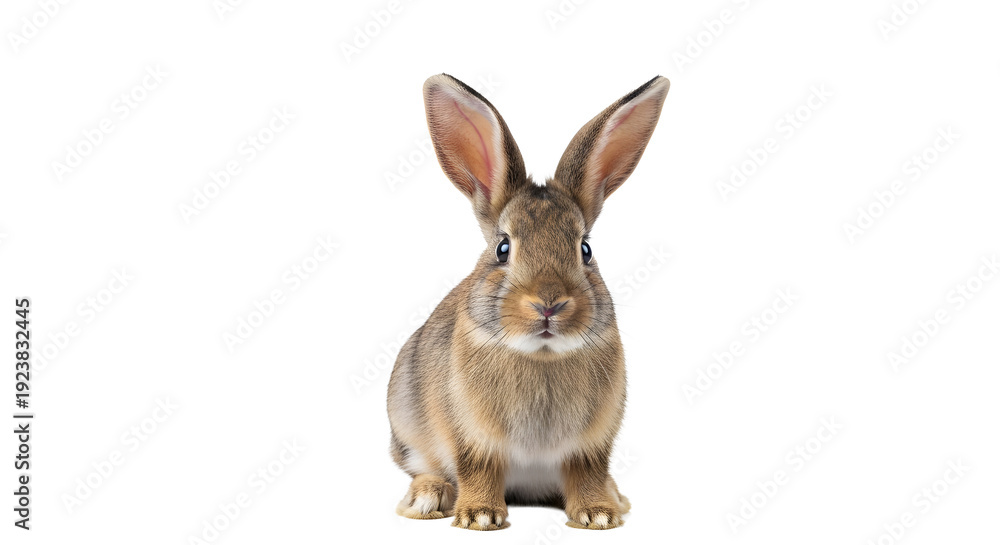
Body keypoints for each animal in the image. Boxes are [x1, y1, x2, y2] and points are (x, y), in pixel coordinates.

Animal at [387, 73, 669, 531]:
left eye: (585, 250)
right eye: (503, 248)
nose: (548, 303)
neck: (542, 354)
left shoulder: (590, 446)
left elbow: (587, 473)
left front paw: (598, 515)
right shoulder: (472, 439)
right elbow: (477, 469)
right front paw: (480, 517)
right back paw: (428, 498)